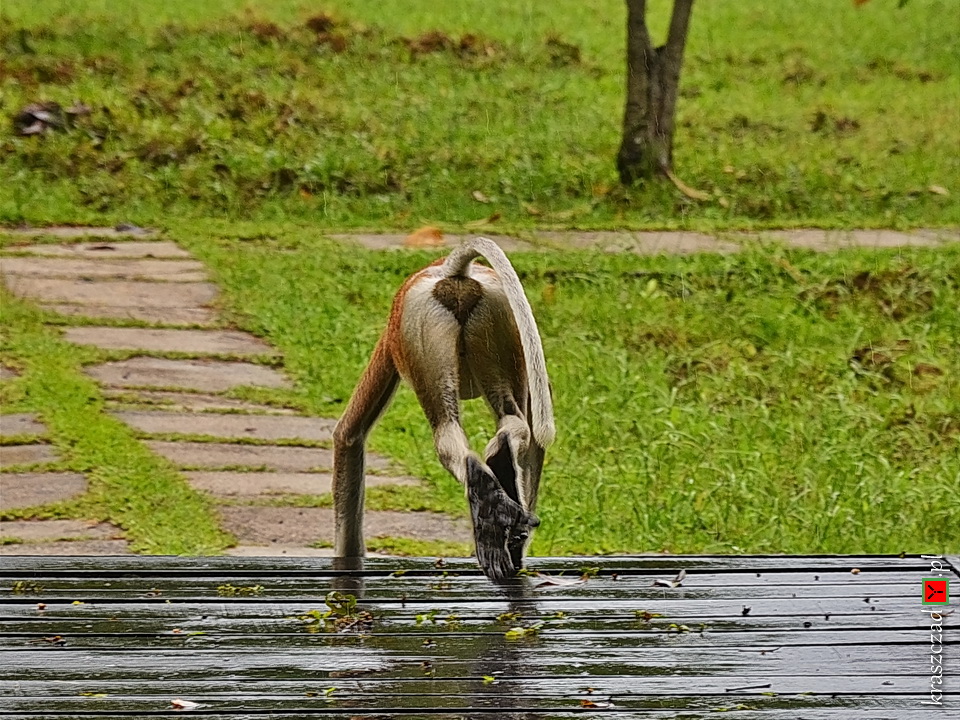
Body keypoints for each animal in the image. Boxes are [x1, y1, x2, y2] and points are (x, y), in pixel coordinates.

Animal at [334, 239, 556, 584]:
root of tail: (455, 274)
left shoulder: (395, 341)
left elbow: (349, 435)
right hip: (495, 319)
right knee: (512, 420)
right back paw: (499, 478)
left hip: (419, 324)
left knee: (445, 429)